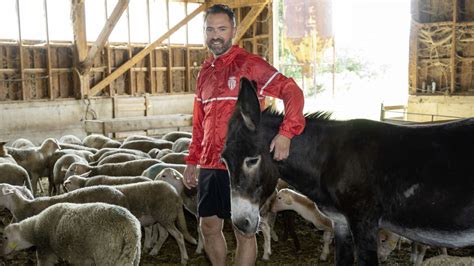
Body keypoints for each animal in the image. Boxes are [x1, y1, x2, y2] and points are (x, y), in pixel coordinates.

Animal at [0, 203, 141, 264]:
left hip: (106, 256)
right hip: (133, 256)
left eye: (5, 237)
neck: (34, 228)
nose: (2, 254)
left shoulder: (45, 251)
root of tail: (129, 227)